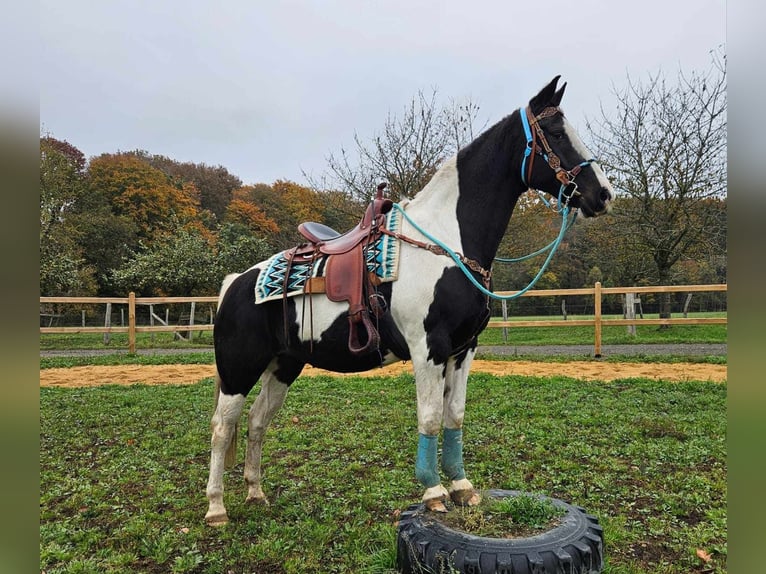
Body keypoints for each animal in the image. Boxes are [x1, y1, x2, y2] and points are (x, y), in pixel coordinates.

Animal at [204, 75, 612, 528]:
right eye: (555, 133)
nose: (603, 194)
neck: (446, 241)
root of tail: (237, 283)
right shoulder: (427, 348)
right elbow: (430, 418)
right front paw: (433, 493)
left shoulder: (463, 350)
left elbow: (455, 416)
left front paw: (462, 488)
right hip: (239, 369)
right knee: (223, 426)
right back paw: (216, 508)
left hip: (284, 365)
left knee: (257, 422)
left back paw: (256, 494)